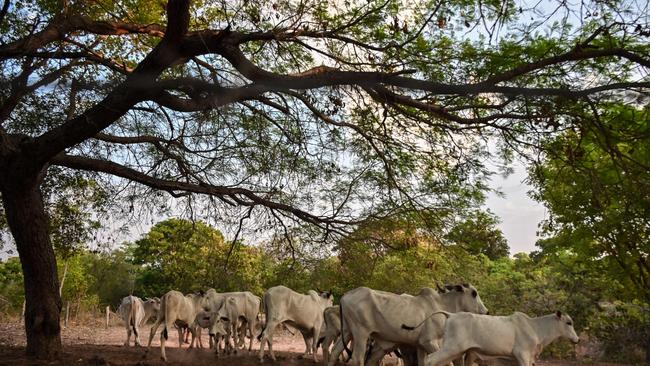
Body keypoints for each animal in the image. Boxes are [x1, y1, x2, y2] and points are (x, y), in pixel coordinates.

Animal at [330, 284, 486, 366]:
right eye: (474, 293)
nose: (486, 311)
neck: (442, 305)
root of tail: (345, 296)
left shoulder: (420, 345)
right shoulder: (429, 342)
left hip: (347, 331)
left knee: (334, 353)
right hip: (360, 333)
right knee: (357, 359)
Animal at [426, 308, 576, 366]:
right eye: (569, 322)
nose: (577, 339)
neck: (535, 327)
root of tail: (451, 315)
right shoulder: (522, 354)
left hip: (456, 351)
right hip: (450, 348)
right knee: (430, 359)